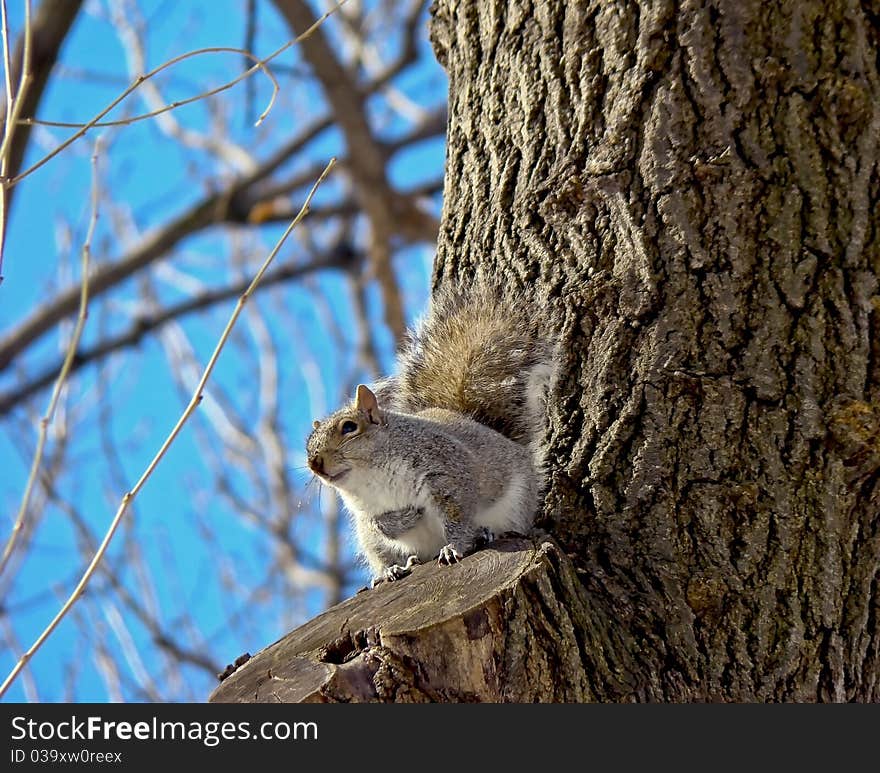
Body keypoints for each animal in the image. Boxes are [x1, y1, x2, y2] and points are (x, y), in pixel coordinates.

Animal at [308, 284, 556, 584]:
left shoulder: (448, 472)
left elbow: (458, 517)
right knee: (383, 553)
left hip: (516, 502)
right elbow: (380, 525)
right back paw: (394, 568)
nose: (314, 464)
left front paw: (453, 548)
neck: (371, 476)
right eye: (308, 445)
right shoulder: (364, 515)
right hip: (369, 540)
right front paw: (405, 519)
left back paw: (485, 534)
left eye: (349, 427)